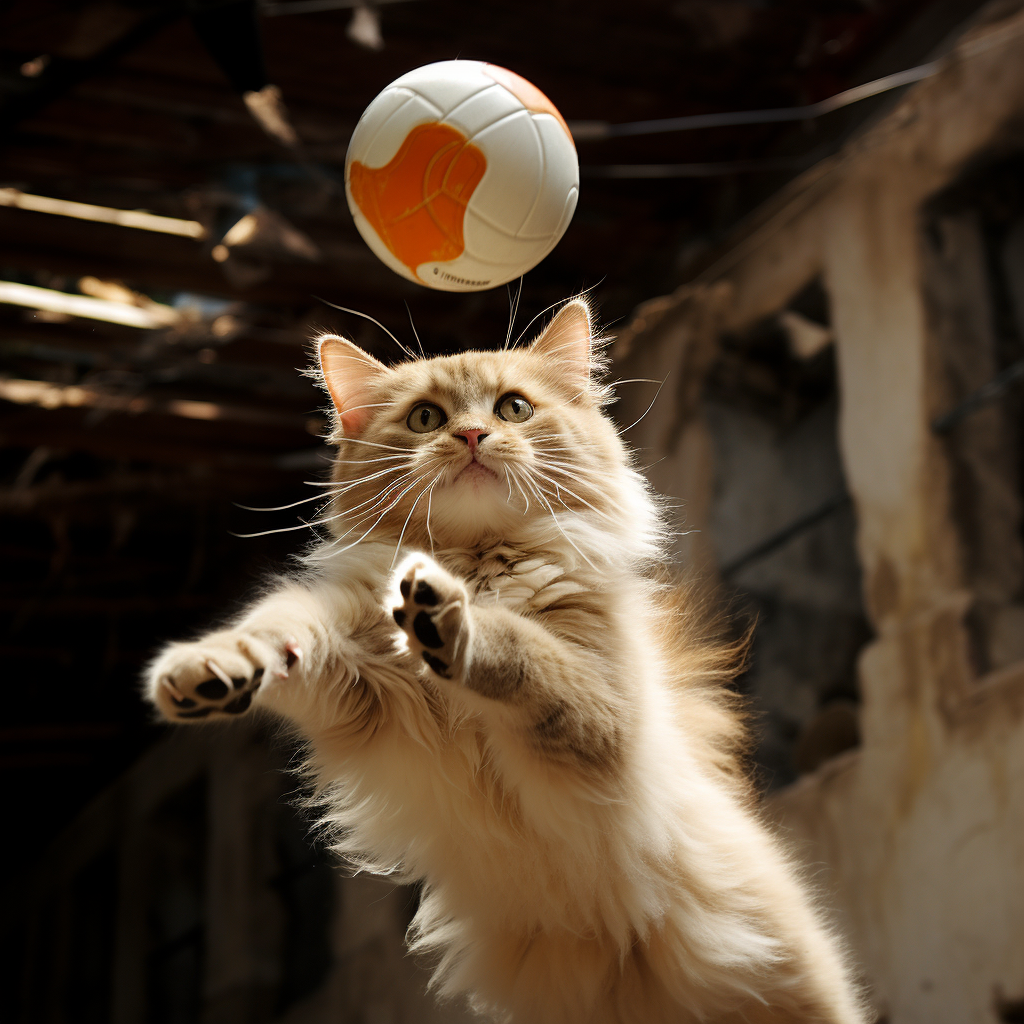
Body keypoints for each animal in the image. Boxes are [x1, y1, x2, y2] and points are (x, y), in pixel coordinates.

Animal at [144, 299, 864, 1024]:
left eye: (513, 408)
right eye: (426, 418)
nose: (470, 436)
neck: (477, 562)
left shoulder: (600, 718)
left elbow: (522, 648)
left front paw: (448, 620)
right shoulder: (356, 679)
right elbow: (275, 630)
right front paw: (205, 671)